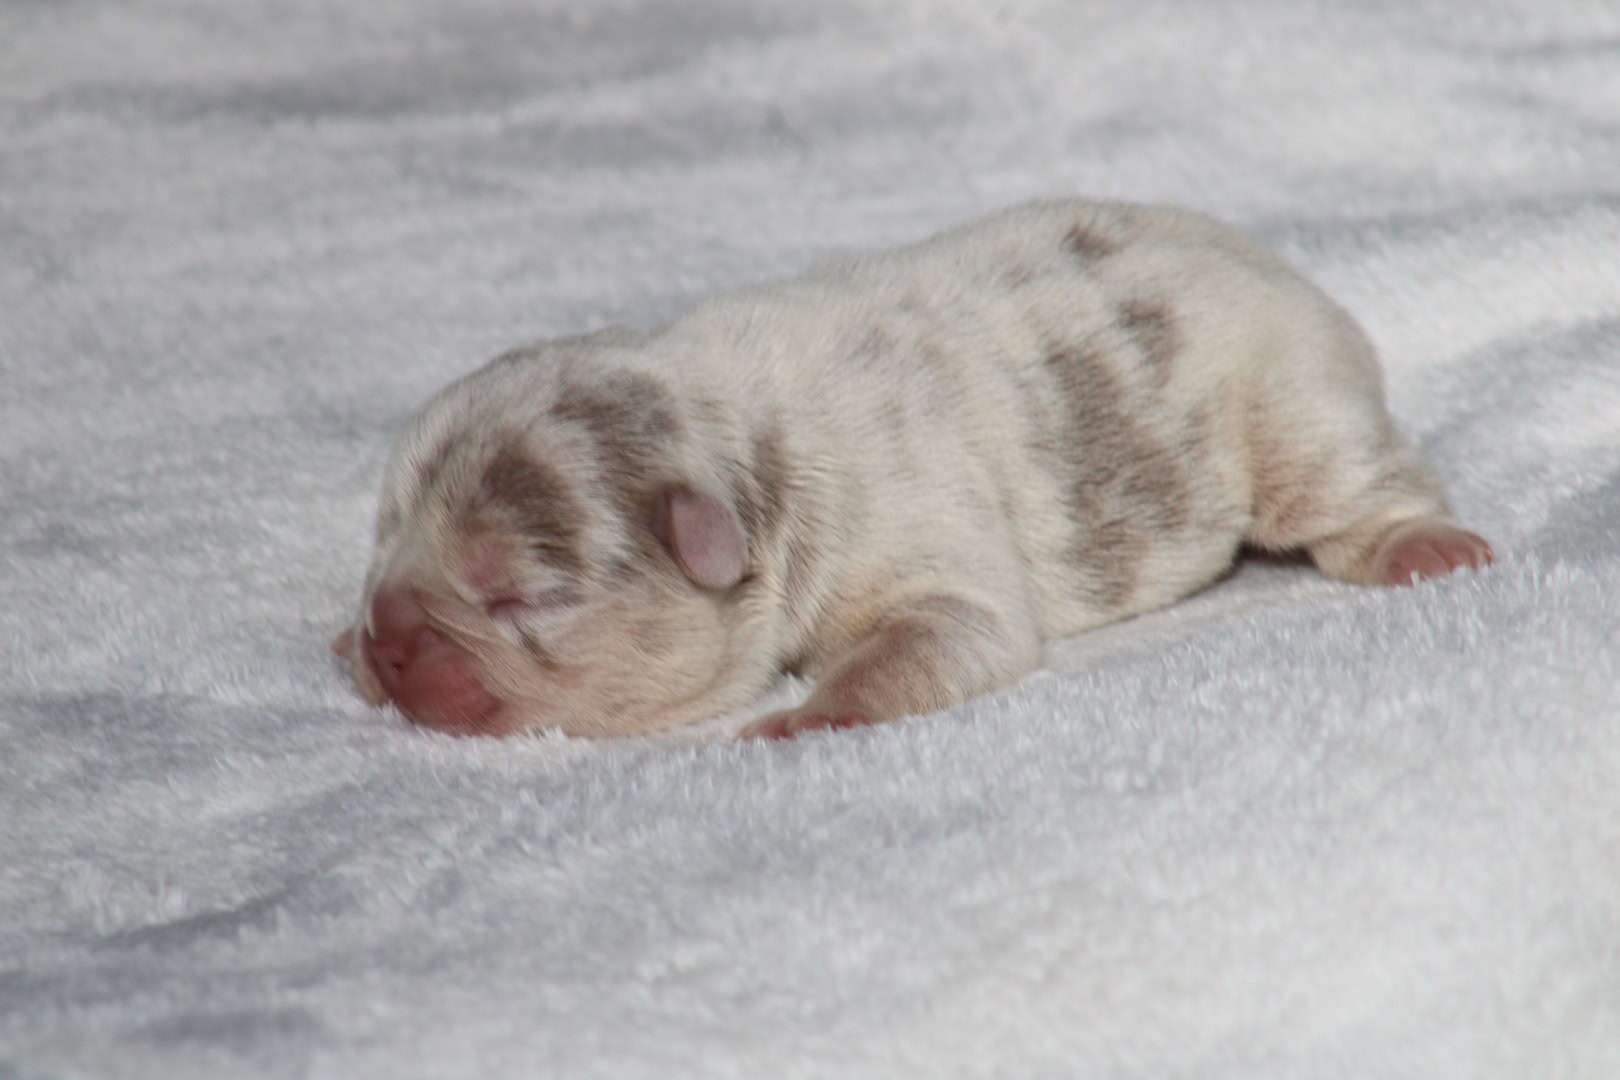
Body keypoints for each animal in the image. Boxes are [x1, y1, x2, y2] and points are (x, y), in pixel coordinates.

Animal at [328, 200, 1490, 744]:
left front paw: (805, 716)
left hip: (1289, 405)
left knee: (1358, 484)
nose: (385, 637)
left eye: (517, 598)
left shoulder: (922, 544)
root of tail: (1289, 273)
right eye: (380, 545)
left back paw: (1425, 547)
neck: (746, 440)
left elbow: (938, 637)